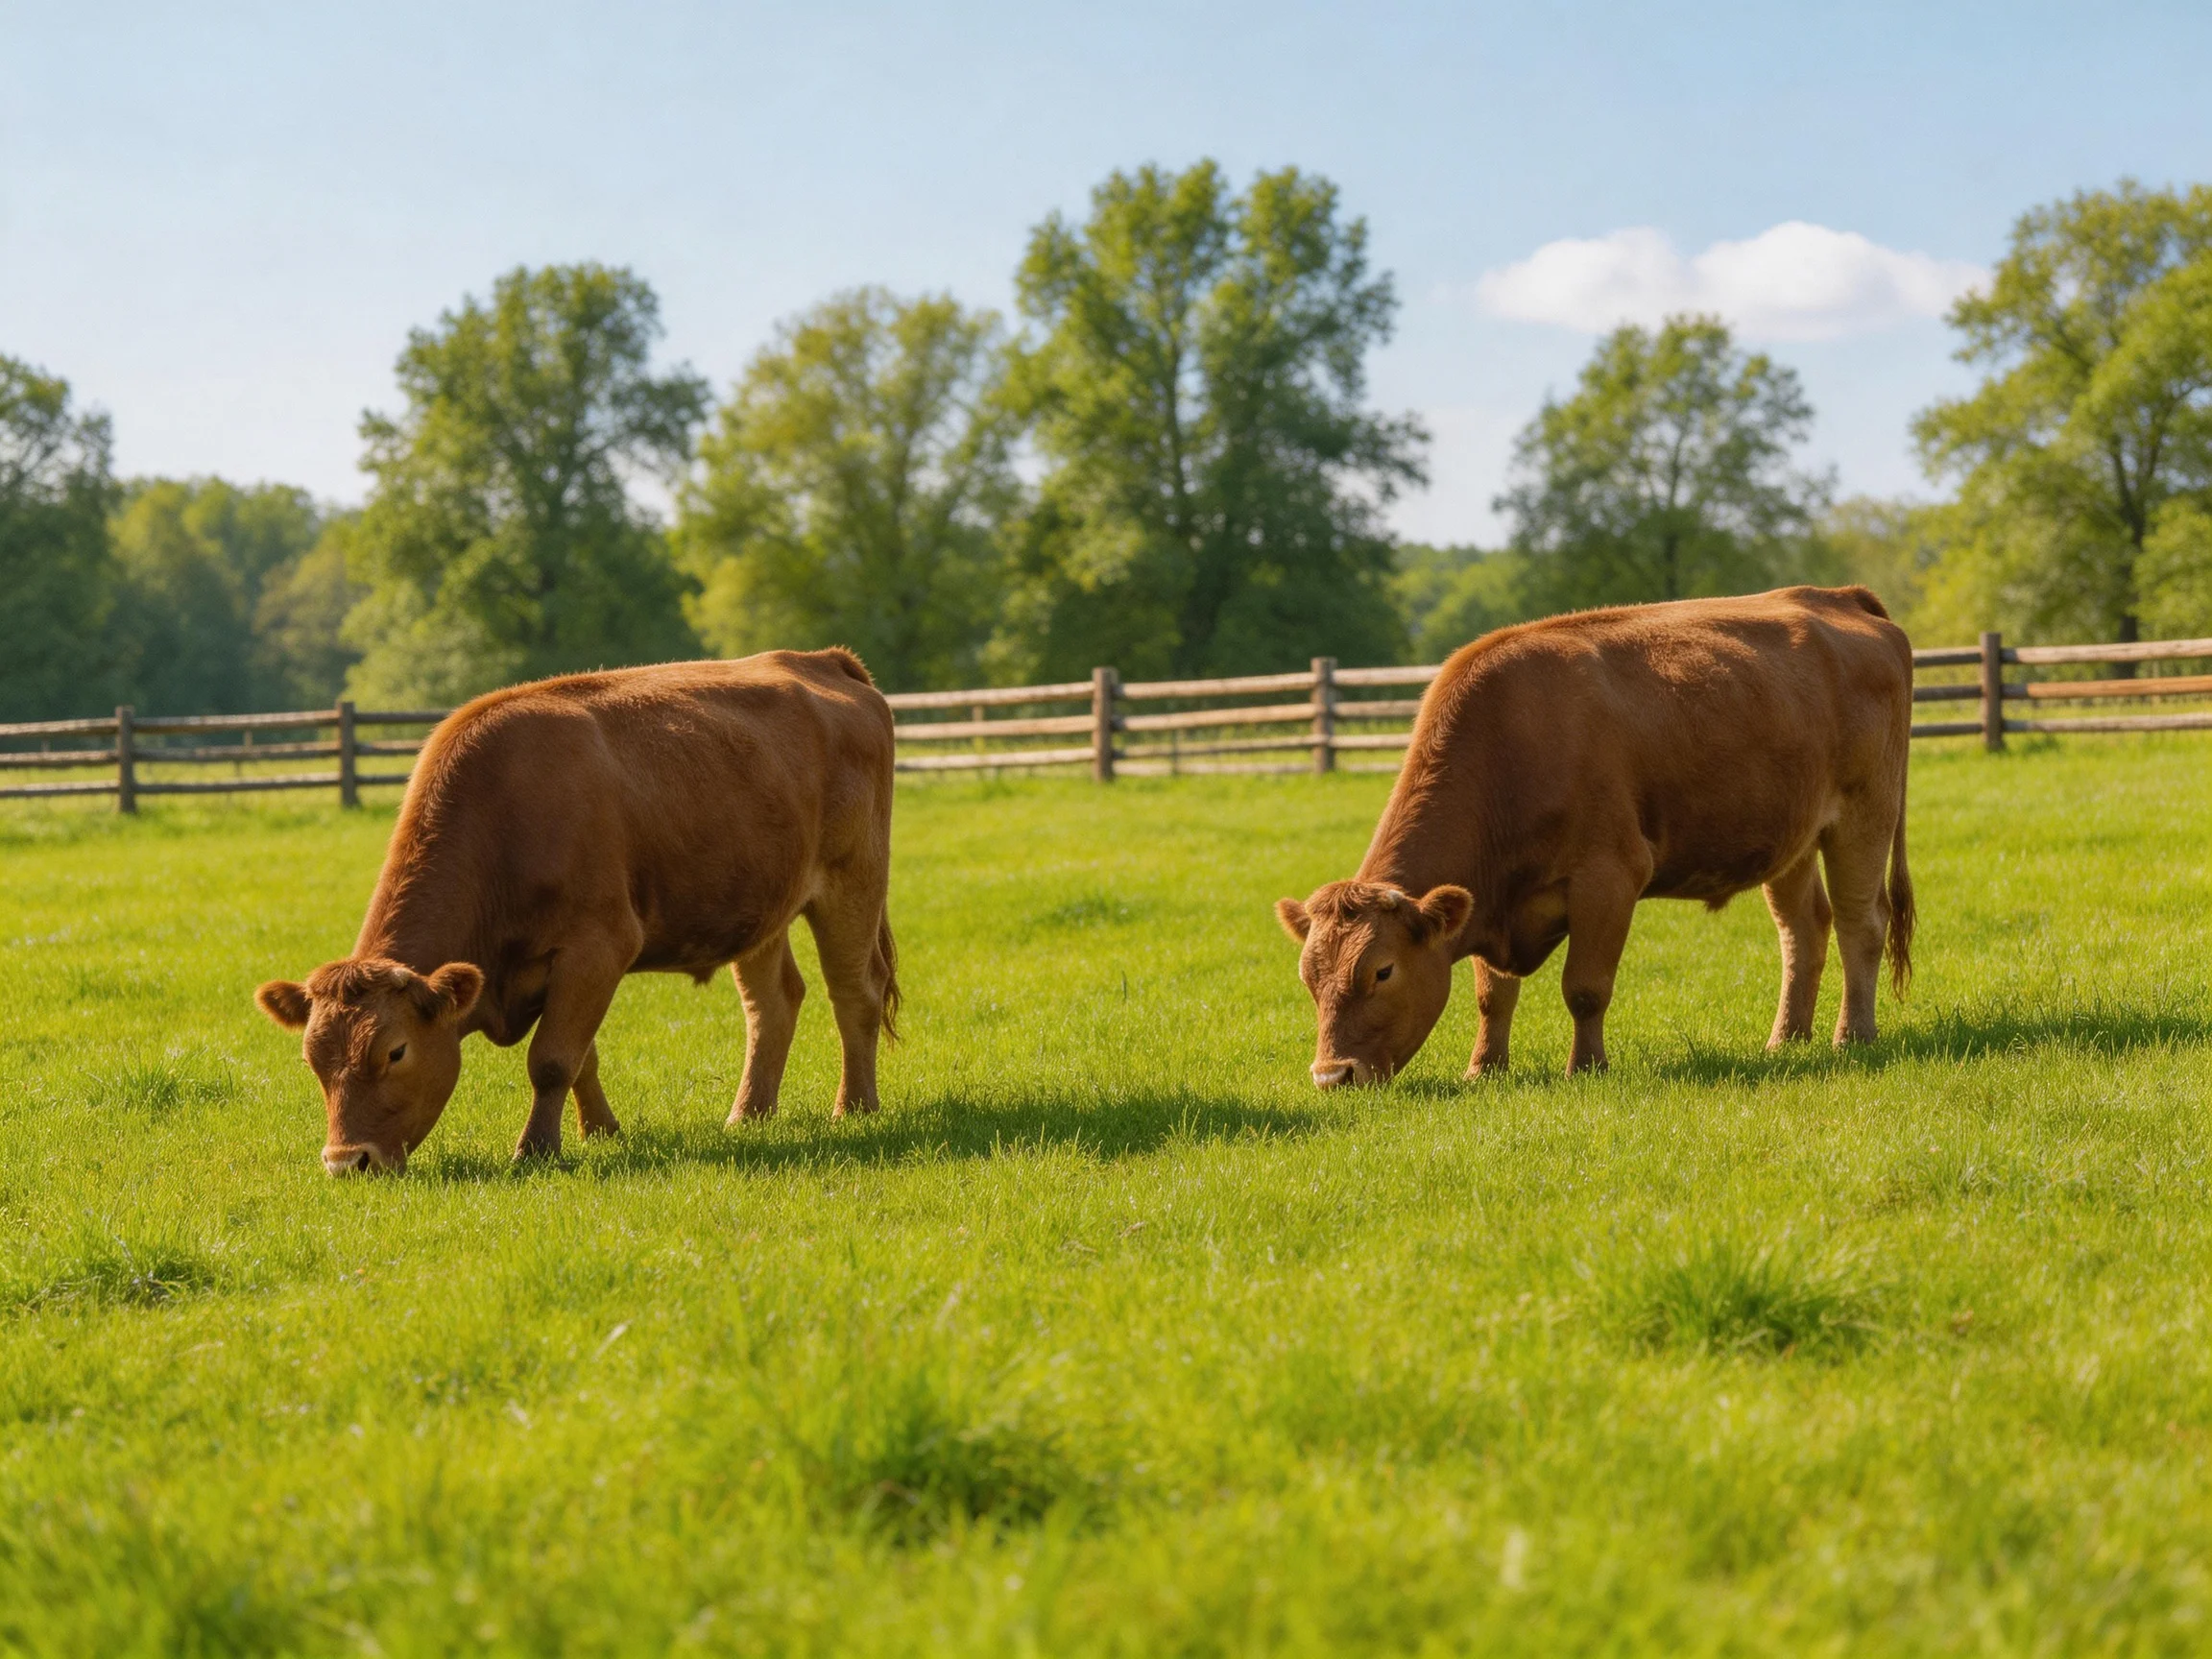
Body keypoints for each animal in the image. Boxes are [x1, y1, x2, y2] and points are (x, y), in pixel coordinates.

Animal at [255, 649, 899, 1174]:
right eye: (313, 1059)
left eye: (395, 1051)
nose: (346, 1161)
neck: (504, 819)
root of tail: (822, 660)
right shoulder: (567, 971)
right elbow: (582, 1056)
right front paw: (601, 1132)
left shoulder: (598, 946)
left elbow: (552, 1059)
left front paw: (536, 1150)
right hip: (758, 908)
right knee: (773, 1005)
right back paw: (748, 1116)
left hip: (853, 880)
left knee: (854, 992)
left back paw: (854, 1108)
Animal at [1275, 586, 1914, 1086]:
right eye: (1308, 976)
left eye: (1382, 971)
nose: (1332, 1076)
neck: (1510, 745)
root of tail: (1836, 596)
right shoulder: (1491, 897)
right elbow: (1492, 995)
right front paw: (1484, 1068)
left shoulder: (1609, 876)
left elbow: (1584, 987)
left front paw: (1585, 1068)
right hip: (1792, 838)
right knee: (1804, 929)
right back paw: (1786, 1039)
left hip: (1865, 814)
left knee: (1862, 923)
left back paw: (1852, 1036)